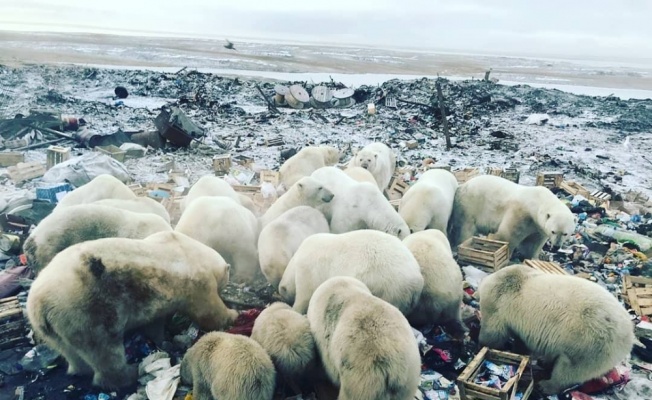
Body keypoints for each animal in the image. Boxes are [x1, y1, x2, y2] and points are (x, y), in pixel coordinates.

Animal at [27, 230, 239, 390]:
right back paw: (129, 373)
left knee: (69, 350)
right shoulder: (197, 282)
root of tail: (40, 302)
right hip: (87, 309)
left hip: (53, 325)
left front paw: (162, 340)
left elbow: (154, 322)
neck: (192, 251)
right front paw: (232, 315)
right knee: (104, 349)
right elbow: (208, 311)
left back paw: (80, 369)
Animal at [448, 176, 576, 260]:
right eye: (553, 231)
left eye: (565, 233)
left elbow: (533, 243)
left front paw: (534, 258)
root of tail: (462, 185)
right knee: (465, 228)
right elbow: (508, 234)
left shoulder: (538, 227)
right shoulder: (521, 214)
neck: (536, 203)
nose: (556, 247)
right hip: (469, 205)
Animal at [478, 266, 632, 394]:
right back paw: (544, 362)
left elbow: (493, 332)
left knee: (570, 369)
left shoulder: (500, 302)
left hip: (589, 342)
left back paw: (546, 385)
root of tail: (628, 339)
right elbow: (521, 340)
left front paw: (483, 344)